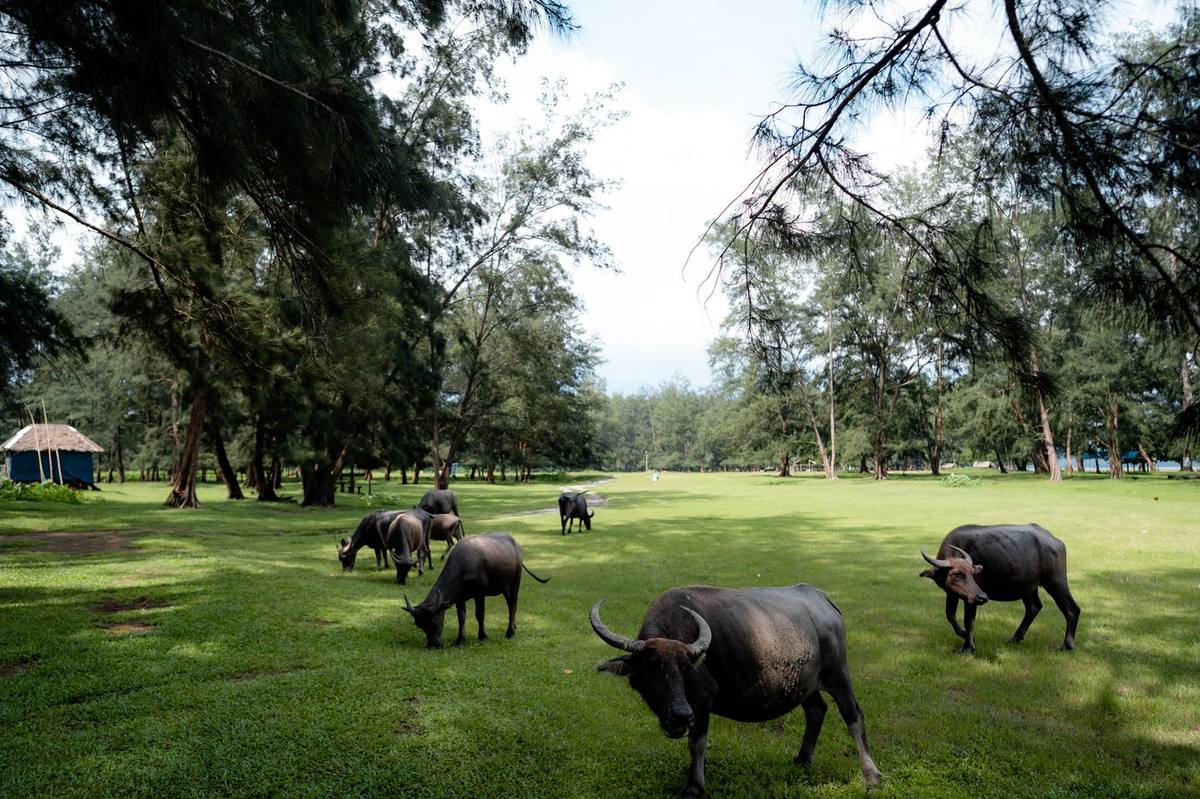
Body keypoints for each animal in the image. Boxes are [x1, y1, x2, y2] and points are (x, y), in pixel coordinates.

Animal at [401, 533, 549, 648]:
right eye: (419, 625)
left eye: (434, 620)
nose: (433, 645)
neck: (463, 568)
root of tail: (517, 547)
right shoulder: (459, 598)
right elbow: (461, 617)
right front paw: (460, 640)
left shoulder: (480, 594)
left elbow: (480, 614)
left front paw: (482, 635)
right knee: (514, 603)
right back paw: (514, 626)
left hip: (514, 582)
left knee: (512, 603)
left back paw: (510, 632)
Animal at [591, 585, 881, 796]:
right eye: (651, 668)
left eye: (686, 669)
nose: (681, 715)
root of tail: (822, 599)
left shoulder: (702, 699)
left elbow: (697, 742)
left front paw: (694, 786)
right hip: (806, 685)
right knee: (816, 710)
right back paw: (803, 758)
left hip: (838, 676)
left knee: (853, 716)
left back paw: (871, 776)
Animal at [920, 523, 1081, 652]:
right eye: (957, 575)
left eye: (972, 573)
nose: (983, 597)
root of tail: (1055, 541)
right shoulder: (952, 594)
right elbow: (950, 615)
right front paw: (967, 637)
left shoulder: (971, 599)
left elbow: (969, 621)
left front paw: (968, 647)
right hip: (1029, 587)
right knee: (1034, 607)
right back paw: (1015, 638)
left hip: (1056, 582)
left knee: (1072, 609)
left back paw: (1066, 645)